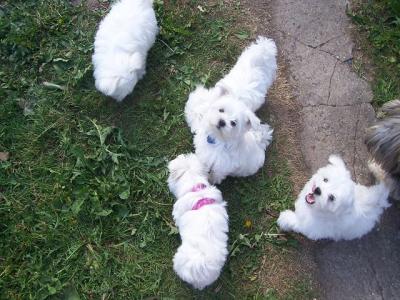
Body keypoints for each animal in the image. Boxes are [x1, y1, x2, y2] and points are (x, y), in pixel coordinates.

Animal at [184, 37, 276, 184]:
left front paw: (210, 181)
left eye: (233, 123)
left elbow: (216, 174)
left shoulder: (221, 165)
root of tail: (260, 142)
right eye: (221, 110)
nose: (222, 122)